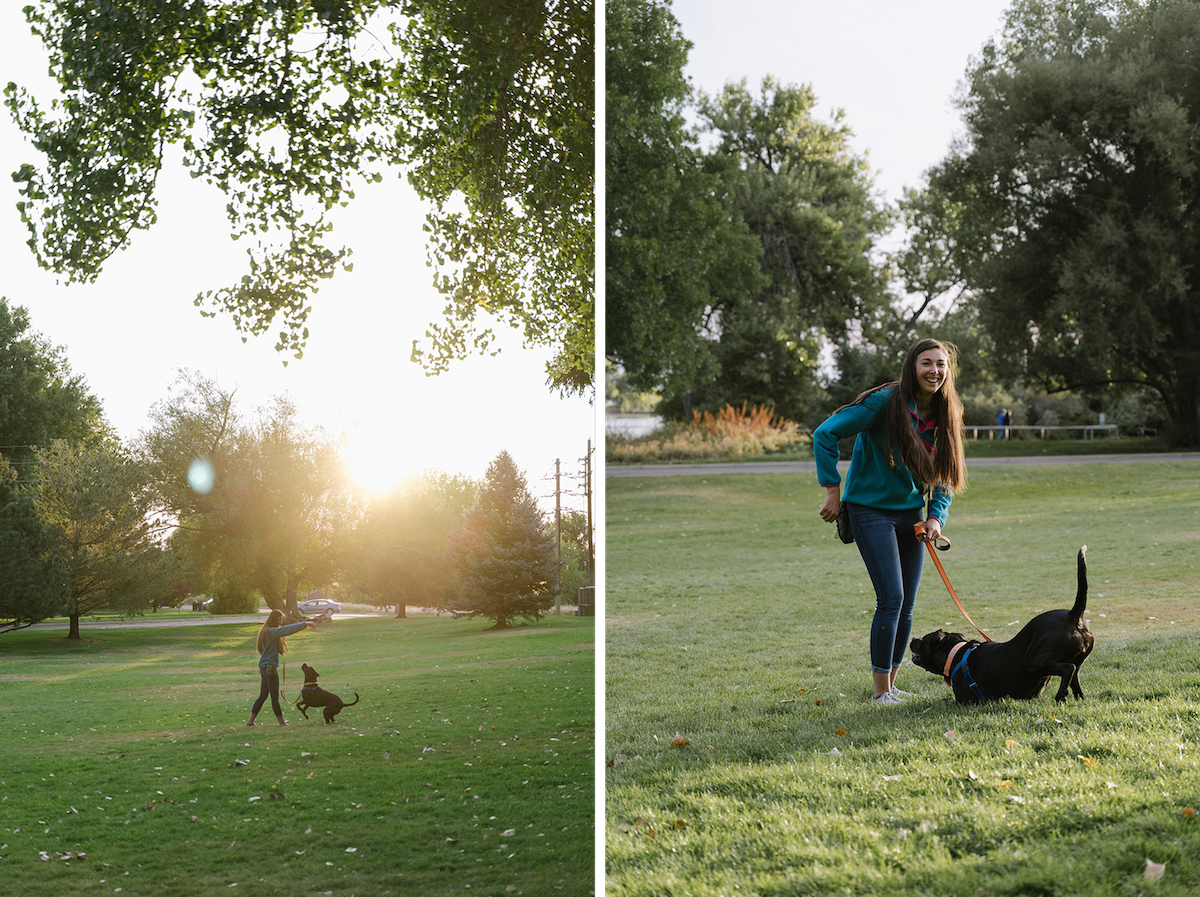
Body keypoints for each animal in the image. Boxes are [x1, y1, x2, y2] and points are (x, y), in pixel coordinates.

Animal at [912, 542, 1094, 705]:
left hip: (1034, 662)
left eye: (924, 639)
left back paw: (1059, 697)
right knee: (1075, 676)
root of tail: (1073, 615)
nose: (913, 639)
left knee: (1068, 669)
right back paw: (1076, 698)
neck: (955, 653)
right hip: (1075, 662)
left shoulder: (966, 702)